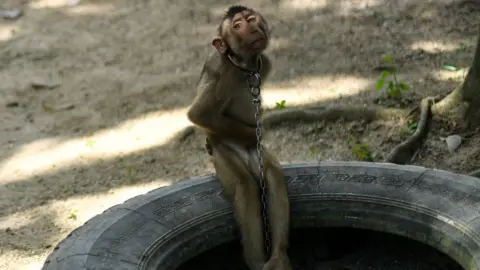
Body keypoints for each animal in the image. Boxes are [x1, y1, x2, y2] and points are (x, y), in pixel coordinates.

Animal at [188, 4, 292, 270]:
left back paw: (278, 256)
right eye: (237, 26)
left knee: (272, 175)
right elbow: (200, 114)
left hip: (257, 156)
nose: (253, 27)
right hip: (225, 154)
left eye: (251, 18)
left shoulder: (265, 62)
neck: (245, 65)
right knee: (245, 185)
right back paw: (256, 261)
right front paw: (255, 131)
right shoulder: (223, 70)